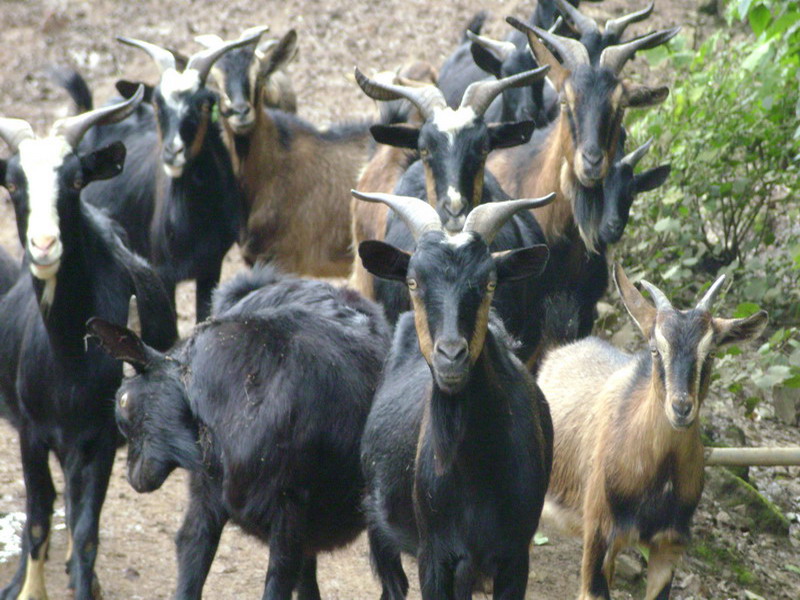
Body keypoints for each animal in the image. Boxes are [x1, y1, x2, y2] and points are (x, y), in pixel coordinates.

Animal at [0, 92, 177, 600]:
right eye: (12, 185)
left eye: (76, 181)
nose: (44, 245)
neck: (67, 359)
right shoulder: (32, 432)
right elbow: (39, 519)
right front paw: (25, 589)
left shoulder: (99, 437)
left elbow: (85, 534)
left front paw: (83, 582)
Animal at [86, 266, 390, 600]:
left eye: (123, 401)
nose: (133, 475)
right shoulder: (206, 497)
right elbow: (192, 558)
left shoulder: (290, 515)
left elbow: (278, 580)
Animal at [358, 191, 552, 600]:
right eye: (413, 281)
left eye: (490, 282)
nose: (451, 355)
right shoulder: (435, 554)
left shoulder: (515, 556)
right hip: (377, 523)